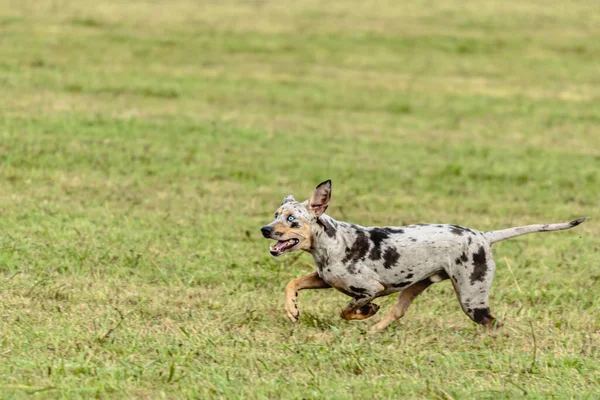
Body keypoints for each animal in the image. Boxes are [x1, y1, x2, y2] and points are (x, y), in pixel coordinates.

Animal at [262, 180, 584, 332]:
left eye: (291, 219)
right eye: (276, 214)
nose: (265, 230)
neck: (332, 242)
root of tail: (483, 235)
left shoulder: (371, 288)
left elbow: (349, 309)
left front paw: (365, 312)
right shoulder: (324, 279)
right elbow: (292, 283)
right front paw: (292, 310)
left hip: (472, 301)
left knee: (495, 326)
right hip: (416, 288)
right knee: (396, 313)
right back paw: (373, 332)